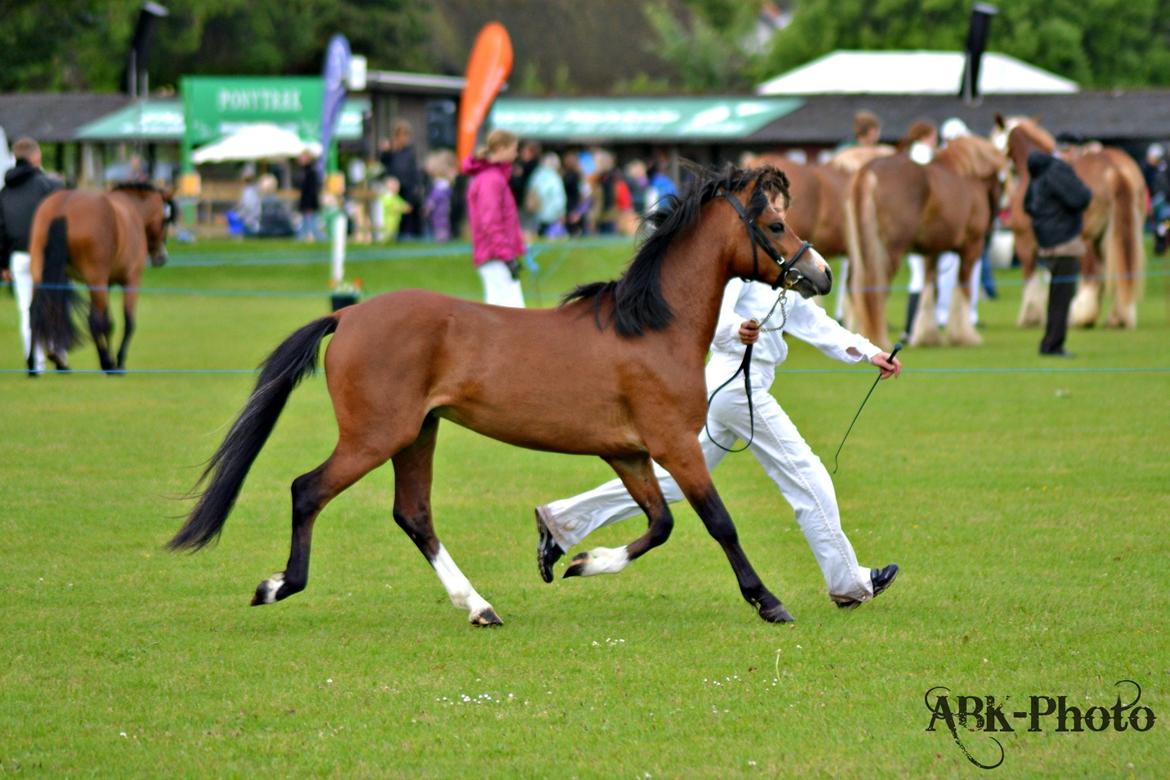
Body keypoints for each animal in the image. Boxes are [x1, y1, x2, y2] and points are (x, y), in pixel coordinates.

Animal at [28, 185, 170, 374]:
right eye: (165, 220)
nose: (162, 257)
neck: (132, 210)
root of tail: (63, 207)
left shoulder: (107, 284)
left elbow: (108, 321)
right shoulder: (130, 281)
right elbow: (127, 322)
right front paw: (118, 361)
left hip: (41, 276)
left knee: (36, 312)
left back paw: (35, 364)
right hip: (95, 281)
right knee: (93, 320)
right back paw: (106, 362)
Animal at [169, 163, 837, 626]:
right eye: (776, 225)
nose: (822, 274)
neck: (650, 327)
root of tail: (349, 314)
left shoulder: (627, 451)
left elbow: (661, 522)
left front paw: (573, 561)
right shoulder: (674, 443)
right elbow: (717, 522)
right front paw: (768, 602)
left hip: (419, 433)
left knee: (413, 515)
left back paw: (479, 607)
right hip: (376, 436)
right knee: (308, 490)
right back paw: (278, 585)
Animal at [842, 135, 1006, 348]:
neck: (969, 175)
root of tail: (869, 171)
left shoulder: (933, 251)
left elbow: (930, 288)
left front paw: (928, 335)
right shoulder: (971, 248)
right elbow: (963, 289)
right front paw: (965, 336)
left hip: (861, 252)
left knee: (854, 287)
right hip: (888, 253)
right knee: (877, 290)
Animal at [992, 115, 1146, 329]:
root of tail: (1115, 168)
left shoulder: (1025, 241)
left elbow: (1030, 276)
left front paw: (1030, 317)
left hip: (1088, 238)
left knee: (1092, 271)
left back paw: (1083, 316)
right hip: (1114, 234)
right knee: (1120, 270)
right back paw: (1117, 317)